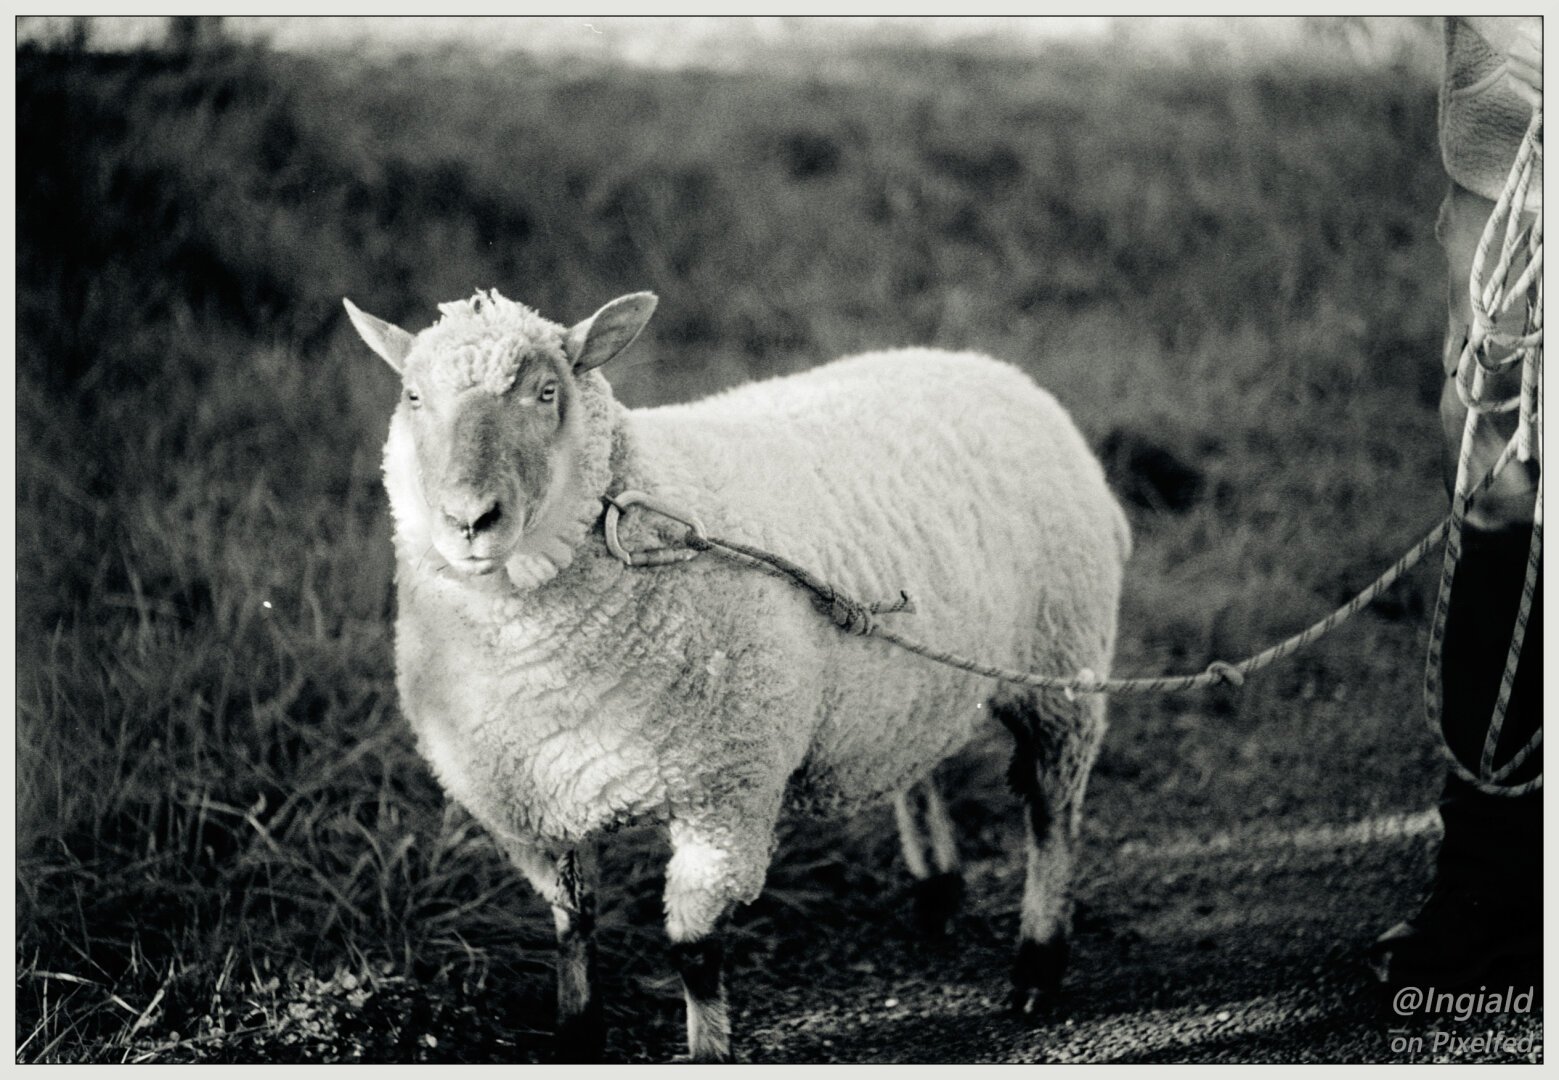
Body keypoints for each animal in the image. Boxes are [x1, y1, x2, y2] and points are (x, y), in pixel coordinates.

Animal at [344, 288, 1134, 1059]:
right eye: (412, 396)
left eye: (546, 392)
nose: (469, 520)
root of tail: (992, 369)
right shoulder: (534, 806)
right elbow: (573, 925)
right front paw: (576, 1035)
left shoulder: (723, 796)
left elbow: (694, 952)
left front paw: (708, 1051)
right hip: (917, 677)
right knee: (921, 767)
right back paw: (937, 892)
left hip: (1061, 663)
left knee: (1051, 813)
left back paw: (1036, 966)